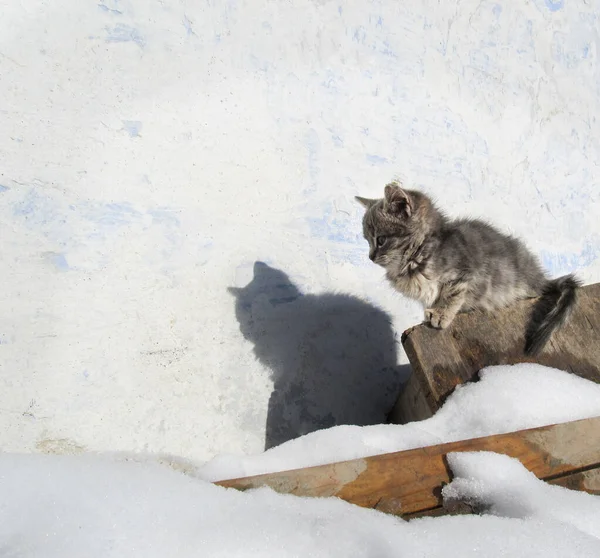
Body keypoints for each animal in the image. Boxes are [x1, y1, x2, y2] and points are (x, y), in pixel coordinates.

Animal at [356, 185, 580, 358]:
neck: (418, 255)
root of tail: (538, 277)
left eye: (381, 240)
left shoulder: (464, 273)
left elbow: (452, 294)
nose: (370, 257)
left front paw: (440, 313)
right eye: (367, 240)